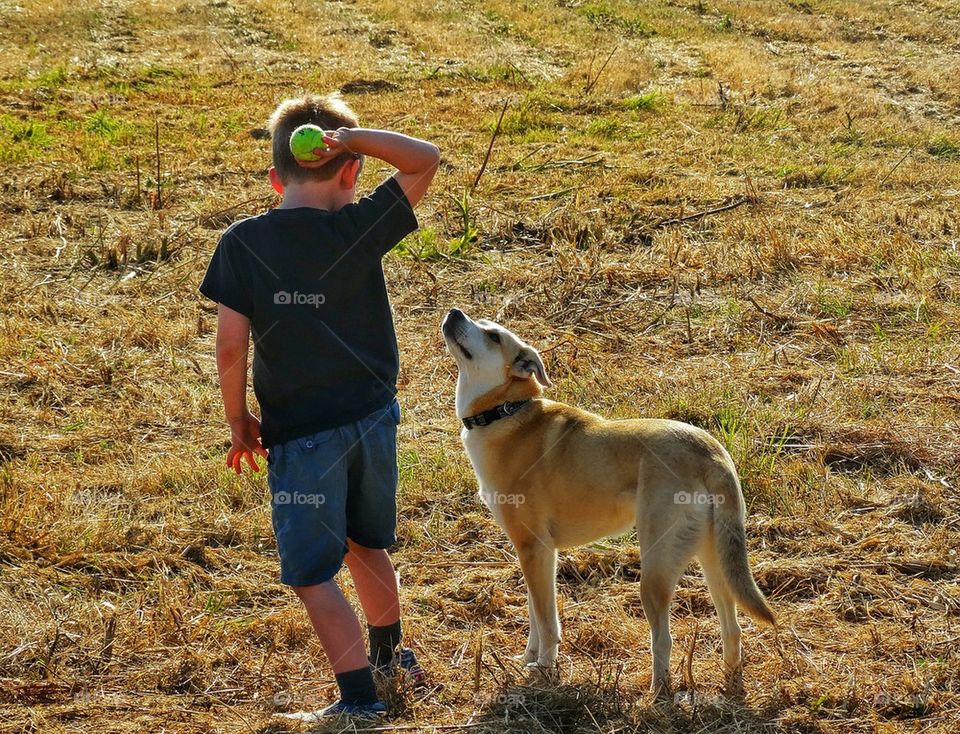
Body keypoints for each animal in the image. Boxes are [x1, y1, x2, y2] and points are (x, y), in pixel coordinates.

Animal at [440, 310, 772, 696]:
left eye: (493, 336)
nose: (454, 313)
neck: (505, 412)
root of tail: (711, 452)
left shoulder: (534, 548)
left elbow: (547, 622)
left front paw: (545, 670)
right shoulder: (537, 553)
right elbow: (536, 617)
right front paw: (528, 661)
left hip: (655, 569)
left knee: (664, 639)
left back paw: (657, 694)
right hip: (713, 561)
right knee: (732, 628)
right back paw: (730, 682)